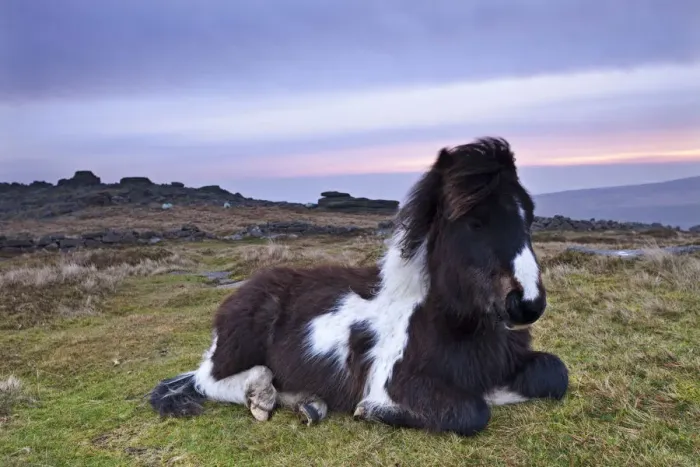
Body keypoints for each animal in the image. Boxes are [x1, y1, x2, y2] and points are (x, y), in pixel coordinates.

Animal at [148, 137, 569, 436]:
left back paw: (308, 403)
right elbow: (472, 412)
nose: (527, 304)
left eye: (529, 216)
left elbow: (554, 373)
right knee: (209, 379)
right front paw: (373, 411)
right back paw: (262, 396)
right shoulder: (396, 381)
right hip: (238, 345)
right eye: (474, 221)